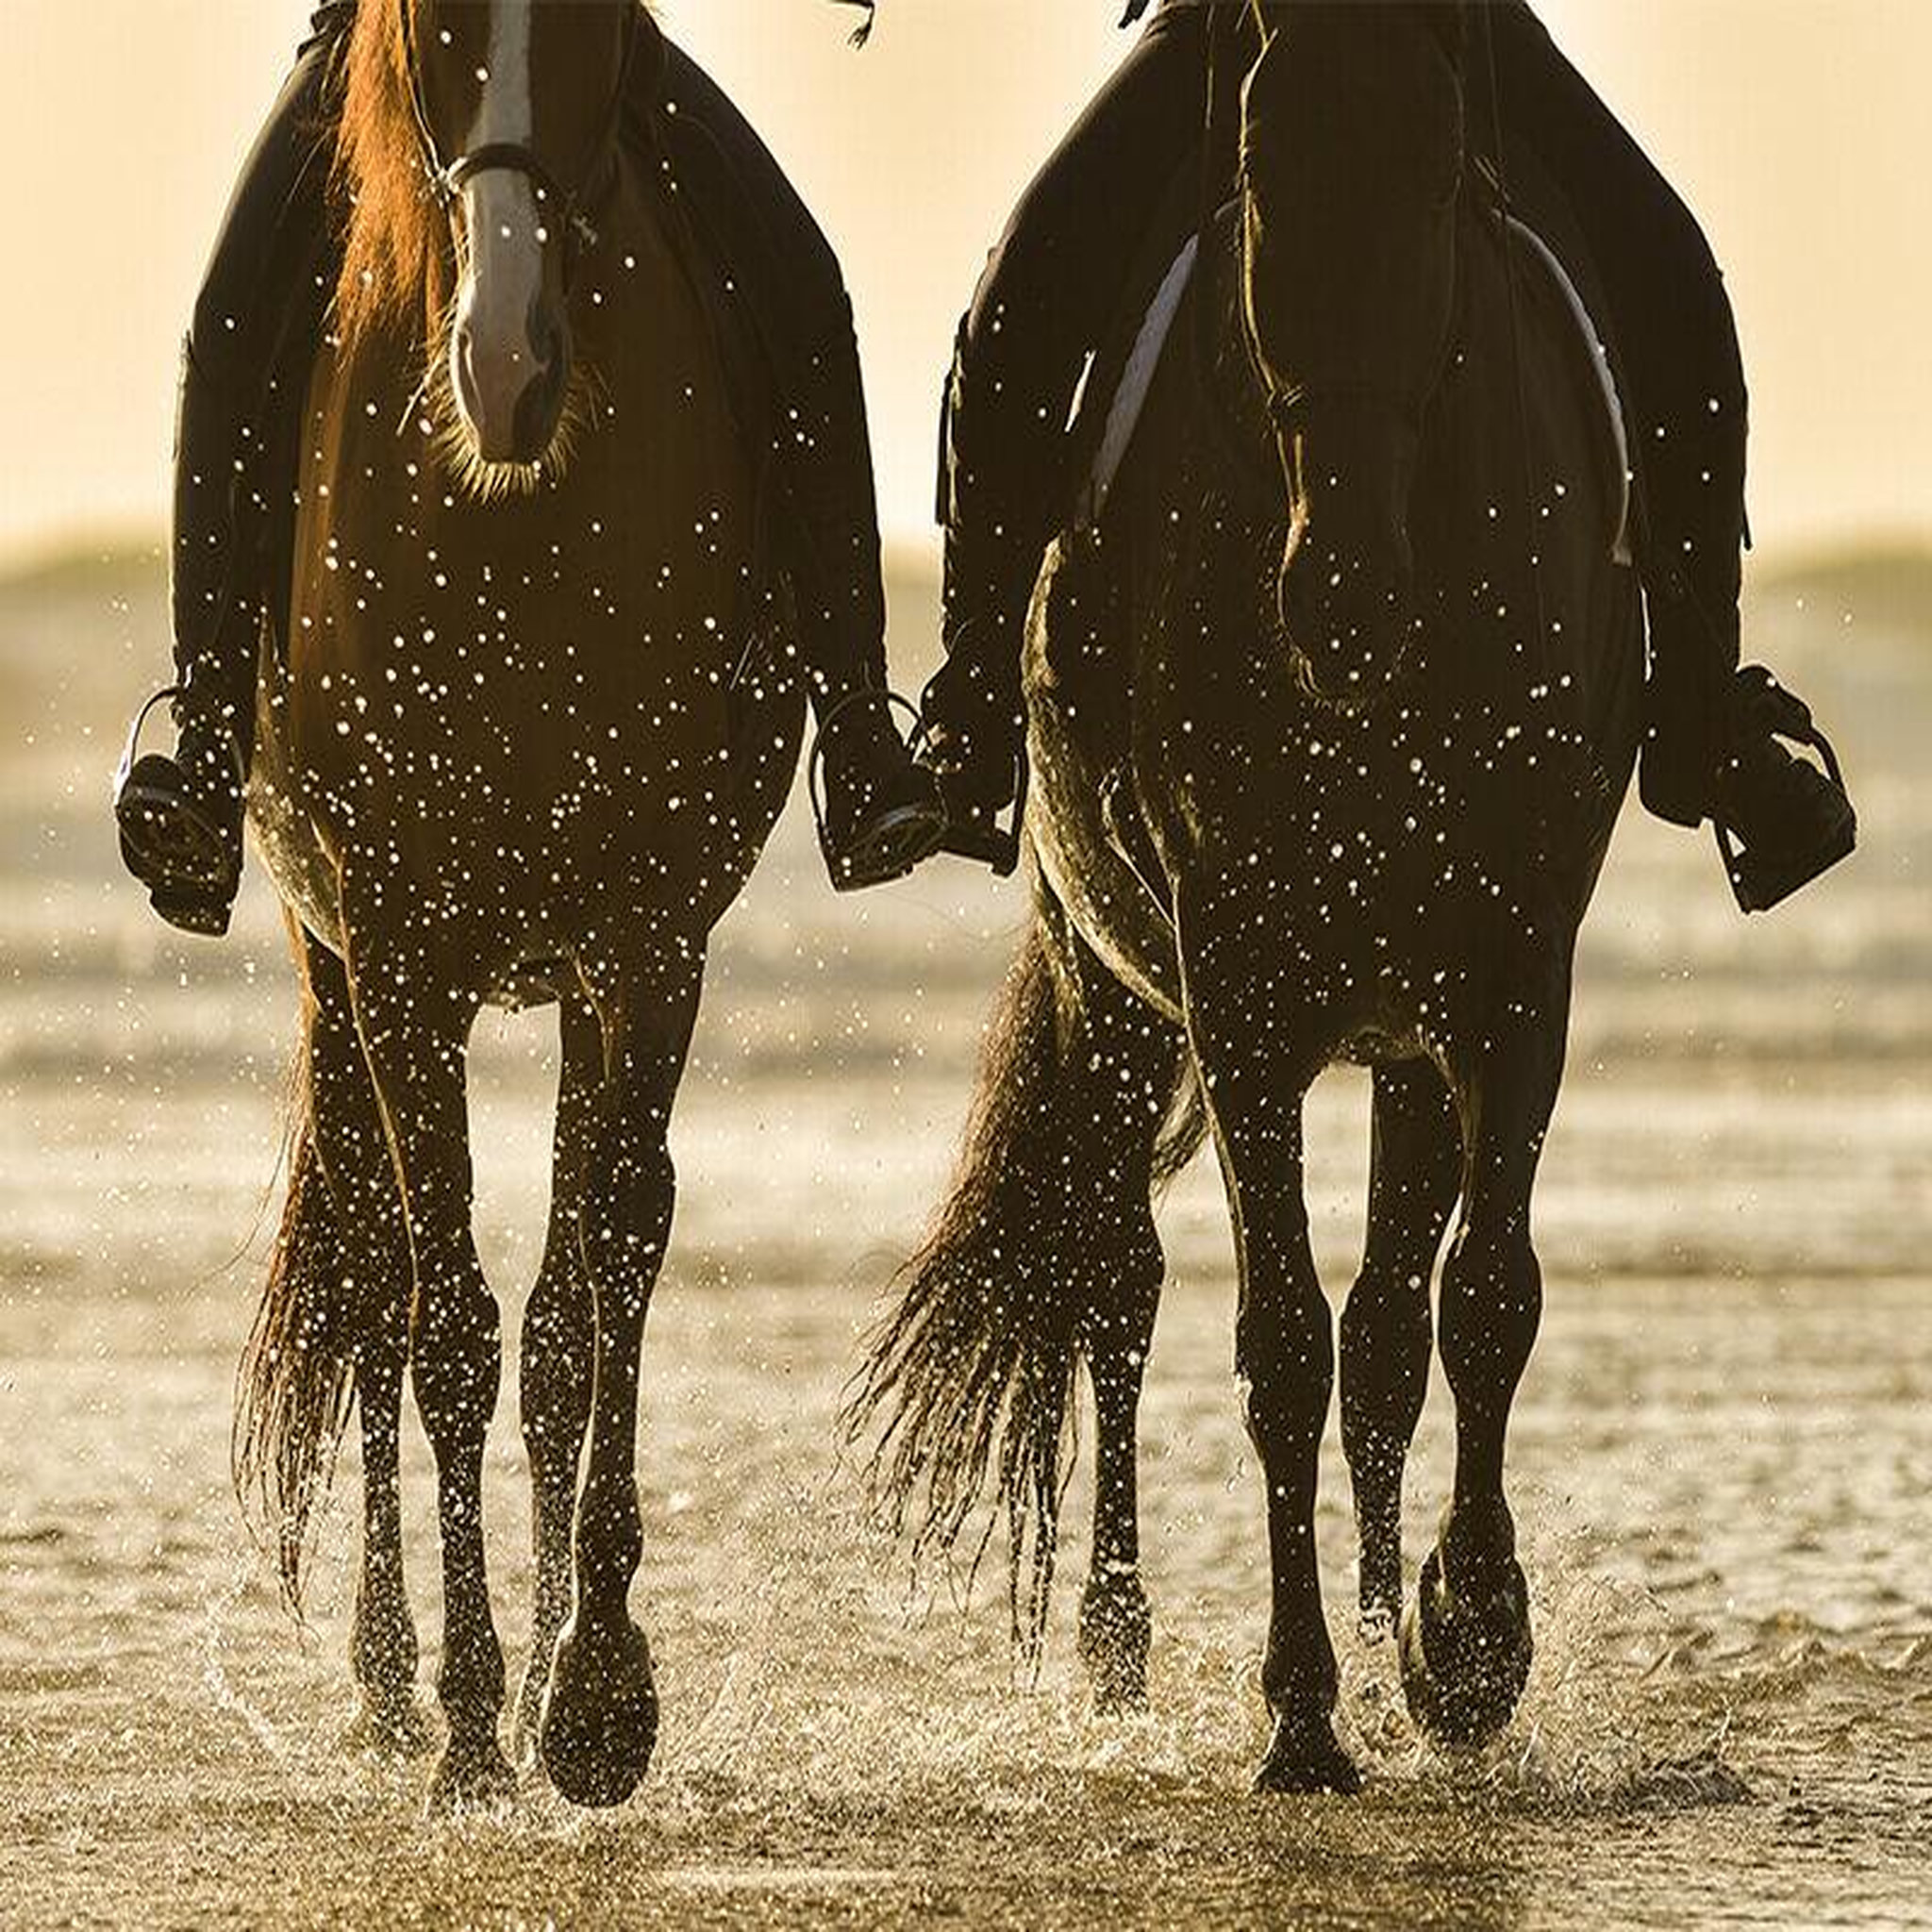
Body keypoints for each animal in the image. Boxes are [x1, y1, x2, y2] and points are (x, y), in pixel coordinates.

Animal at [231, 0, 802, 1811]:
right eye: (426, 30)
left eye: (604, 27)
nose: (506, 365)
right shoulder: (404, 957)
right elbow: (449, 1328)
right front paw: (477, 1712)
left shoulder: (646, 950)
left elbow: (594, 1292)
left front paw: (595, 1684)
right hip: (333, 968)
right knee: (369, 1284)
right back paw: (386, 1680)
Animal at [849, 3, 1645, 1795]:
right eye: (1263, 171)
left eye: (1440, 171)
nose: (1339, 596)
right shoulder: (1242, 987)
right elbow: (1276, 1340)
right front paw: (1299, 1710)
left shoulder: (1511, 981)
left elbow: (1475, 1305)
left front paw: (1461, 1639)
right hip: (1112, 990)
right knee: (1115, 1284)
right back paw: (1116, 1642)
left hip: (1404, 1044)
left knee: (1389, 1337)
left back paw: (1386, 1627)